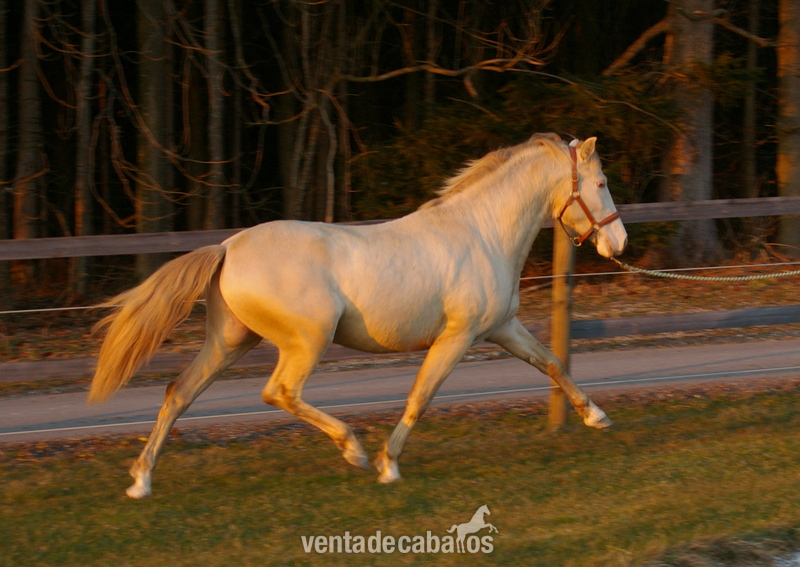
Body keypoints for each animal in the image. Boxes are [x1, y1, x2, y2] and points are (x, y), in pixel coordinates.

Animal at [88, 133, 627, 499]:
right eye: (600, 182)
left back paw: (141, 481)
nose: (618, 243)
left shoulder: (502, 328)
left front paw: (597, 417)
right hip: (307, 340)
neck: (481, 231)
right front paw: (389, 465)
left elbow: (551, 363)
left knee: (179, 392)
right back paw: (353, 449)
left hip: (230, 340)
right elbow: (420, 396)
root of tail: (227, 247)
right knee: (278, 392)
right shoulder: (458, 337)